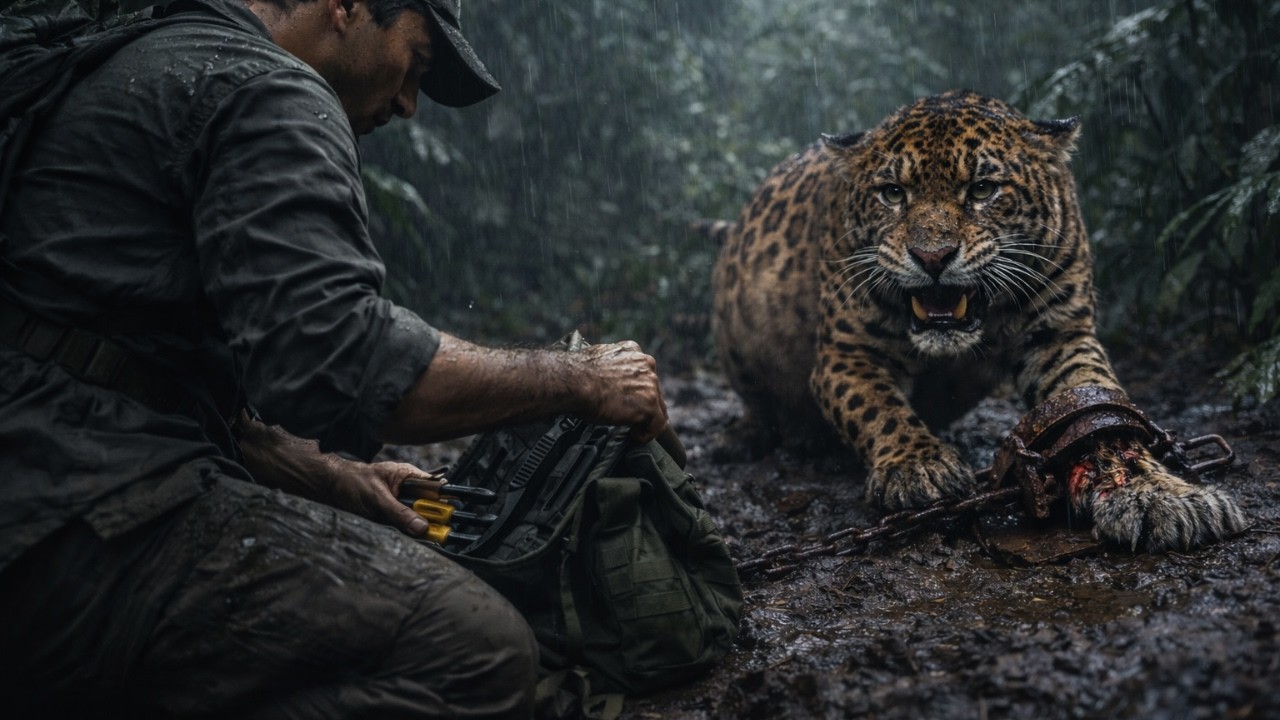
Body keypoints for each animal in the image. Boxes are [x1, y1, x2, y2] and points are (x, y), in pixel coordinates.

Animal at [707, 89, 1246, 552]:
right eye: (893, 193)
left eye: (983, 189)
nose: (932, 256)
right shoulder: (848, 351)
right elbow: (878, 408)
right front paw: (919, 466)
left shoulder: (1060, 334)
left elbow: (1095, 413)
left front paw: (1160, 495)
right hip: (735, 329)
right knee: (757, 400)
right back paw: (751, 436)